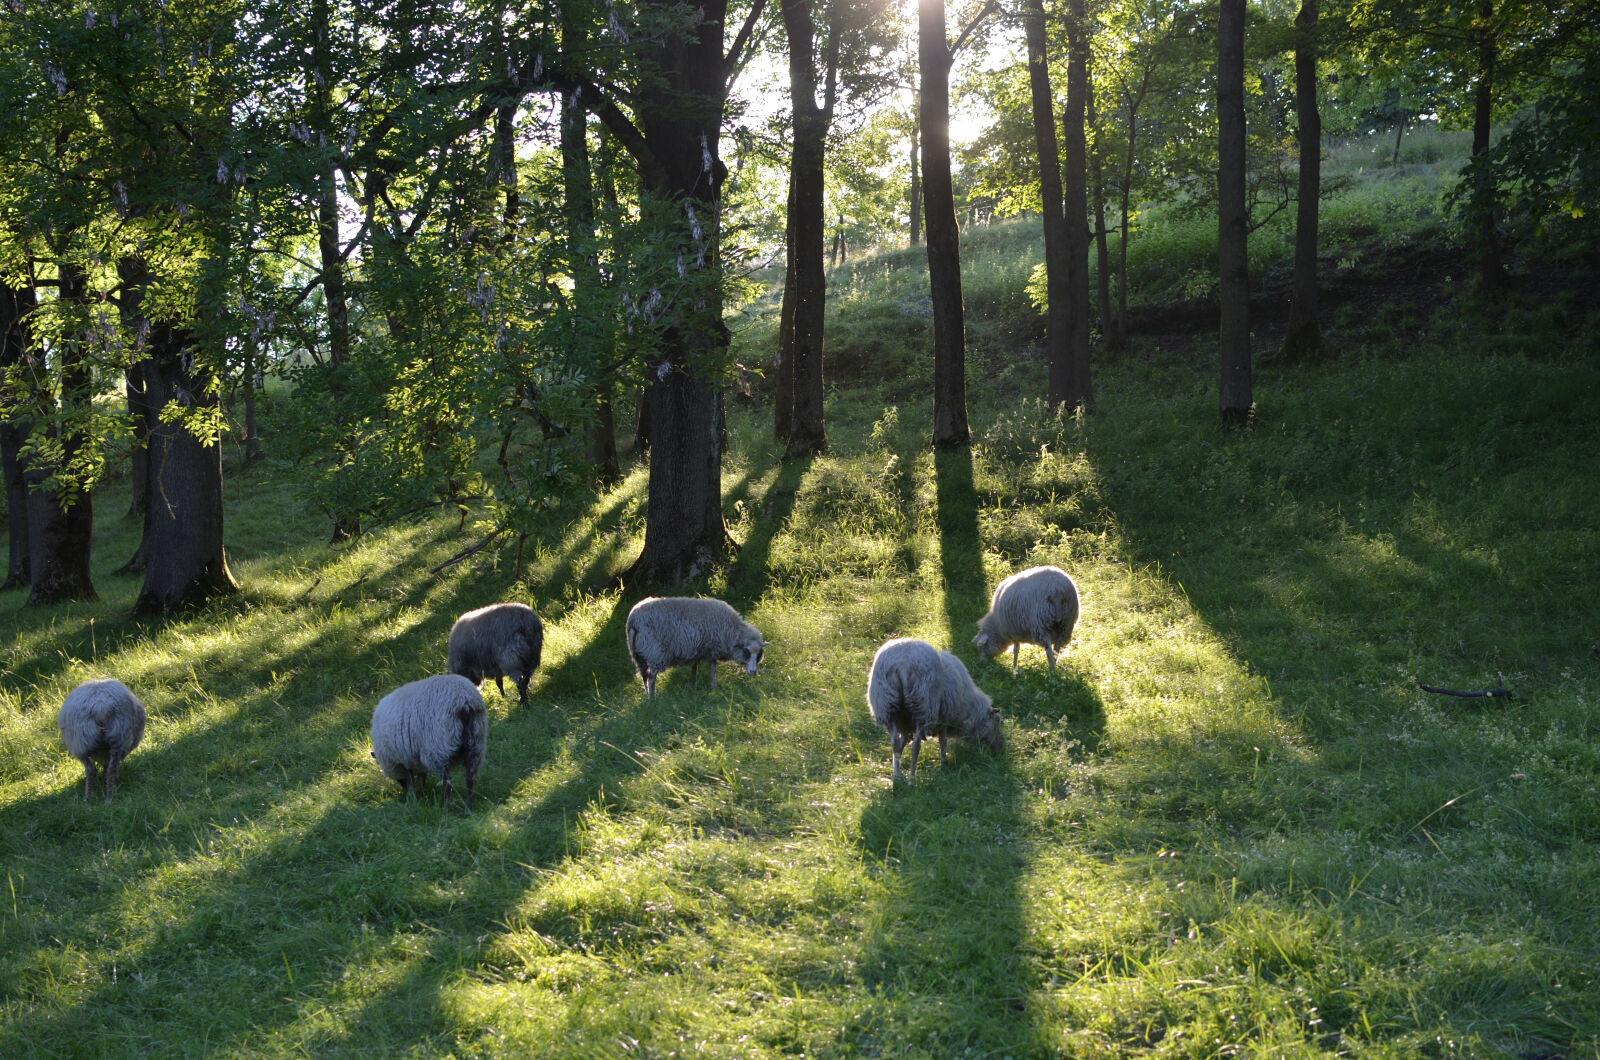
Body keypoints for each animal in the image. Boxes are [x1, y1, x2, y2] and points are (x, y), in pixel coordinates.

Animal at [369, 675, 486, 816]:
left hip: (439, 747)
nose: (404, 794)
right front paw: (420, 797)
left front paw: (413, 800)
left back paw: (443, 809)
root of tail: (465, 702)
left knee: (447, 783)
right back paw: (468, 810)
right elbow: (421, 779)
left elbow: (411, 781)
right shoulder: (416, 758)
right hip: (476, 744)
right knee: (469, 779)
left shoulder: (404, 758)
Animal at [624, 598, 768, 698]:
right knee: (651, 677)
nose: (753, 672)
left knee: (644, 676)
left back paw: (647, 695)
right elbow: (712, 670)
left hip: (638, 655)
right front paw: (714, 687)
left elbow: (694, 667)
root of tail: (633, 620)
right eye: (746, 652)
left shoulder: (697, 650)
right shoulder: (712, 649)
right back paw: (653, 698)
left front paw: (692, 684)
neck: (732, 631)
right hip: (655, 652)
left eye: (759, 655)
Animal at [864, 634, 998, 784]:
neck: (968, 709)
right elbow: (943, 741)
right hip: (923, 705)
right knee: (916, 745)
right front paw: (944, 764)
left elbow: (901, 744)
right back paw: (912, 779)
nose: (999, 748)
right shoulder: (944, 719)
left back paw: (897, 778)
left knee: (894, 742)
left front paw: (896, 767)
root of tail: (903, 662)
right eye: (997, 722)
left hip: (886, 704)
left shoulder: (905, 724)